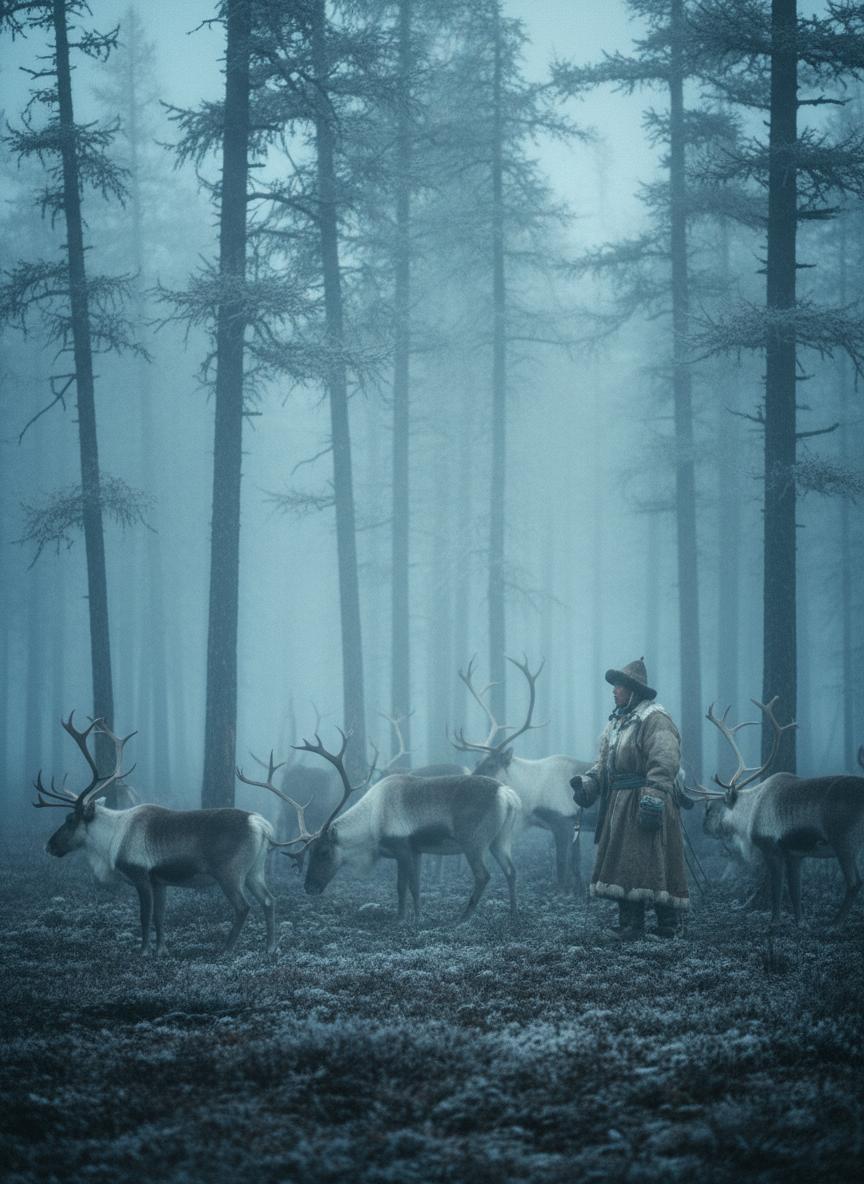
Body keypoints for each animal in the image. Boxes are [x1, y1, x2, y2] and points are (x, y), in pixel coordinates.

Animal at [36, 714, 280, 954]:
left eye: (70, 820)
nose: (48, 846)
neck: (112, 838)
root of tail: (260, 824)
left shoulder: (140, 875)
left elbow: (144, 916)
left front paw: (143, 952)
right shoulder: (159, 881)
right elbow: (159, 916)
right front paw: (161, 950)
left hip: (229, 873)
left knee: (243, 907)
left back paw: (226, 949)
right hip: (254, 871)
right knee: (269, 900)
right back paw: (270, 948)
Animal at [245, 728, 521, 922]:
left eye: (323, 851)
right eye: (309, 852)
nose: (309, 887)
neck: (371, 825)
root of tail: (507, 794)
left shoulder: (402, 848)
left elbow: (402, 887)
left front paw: (404, 918)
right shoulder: (416, 851)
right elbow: (413, 887)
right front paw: (414, 916)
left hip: (473, 841)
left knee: (484, 875)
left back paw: (462, 918)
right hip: (501, 840)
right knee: (511, 870)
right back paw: (513, 914)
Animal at [450, 655, 592, 891]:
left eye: (491, 764)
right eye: (477, 761)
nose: (465, 784)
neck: (530, 792)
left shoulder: (562, 821)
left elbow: (562, 867)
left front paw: (563, 892)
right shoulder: (574, 824)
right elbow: (576, 865)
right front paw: (579, 891)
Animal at [687, 698, 864, 928]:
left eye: (711, 808)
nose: (704, 828)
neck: (749, 811)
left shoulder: (771, 847)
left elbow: (777, 887)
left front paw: (774, 921)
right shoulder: (795, 854)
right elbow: (795, 890)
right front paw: (800, 922)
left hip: (844, 841)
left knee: (854, 883)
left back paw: (834, 923)